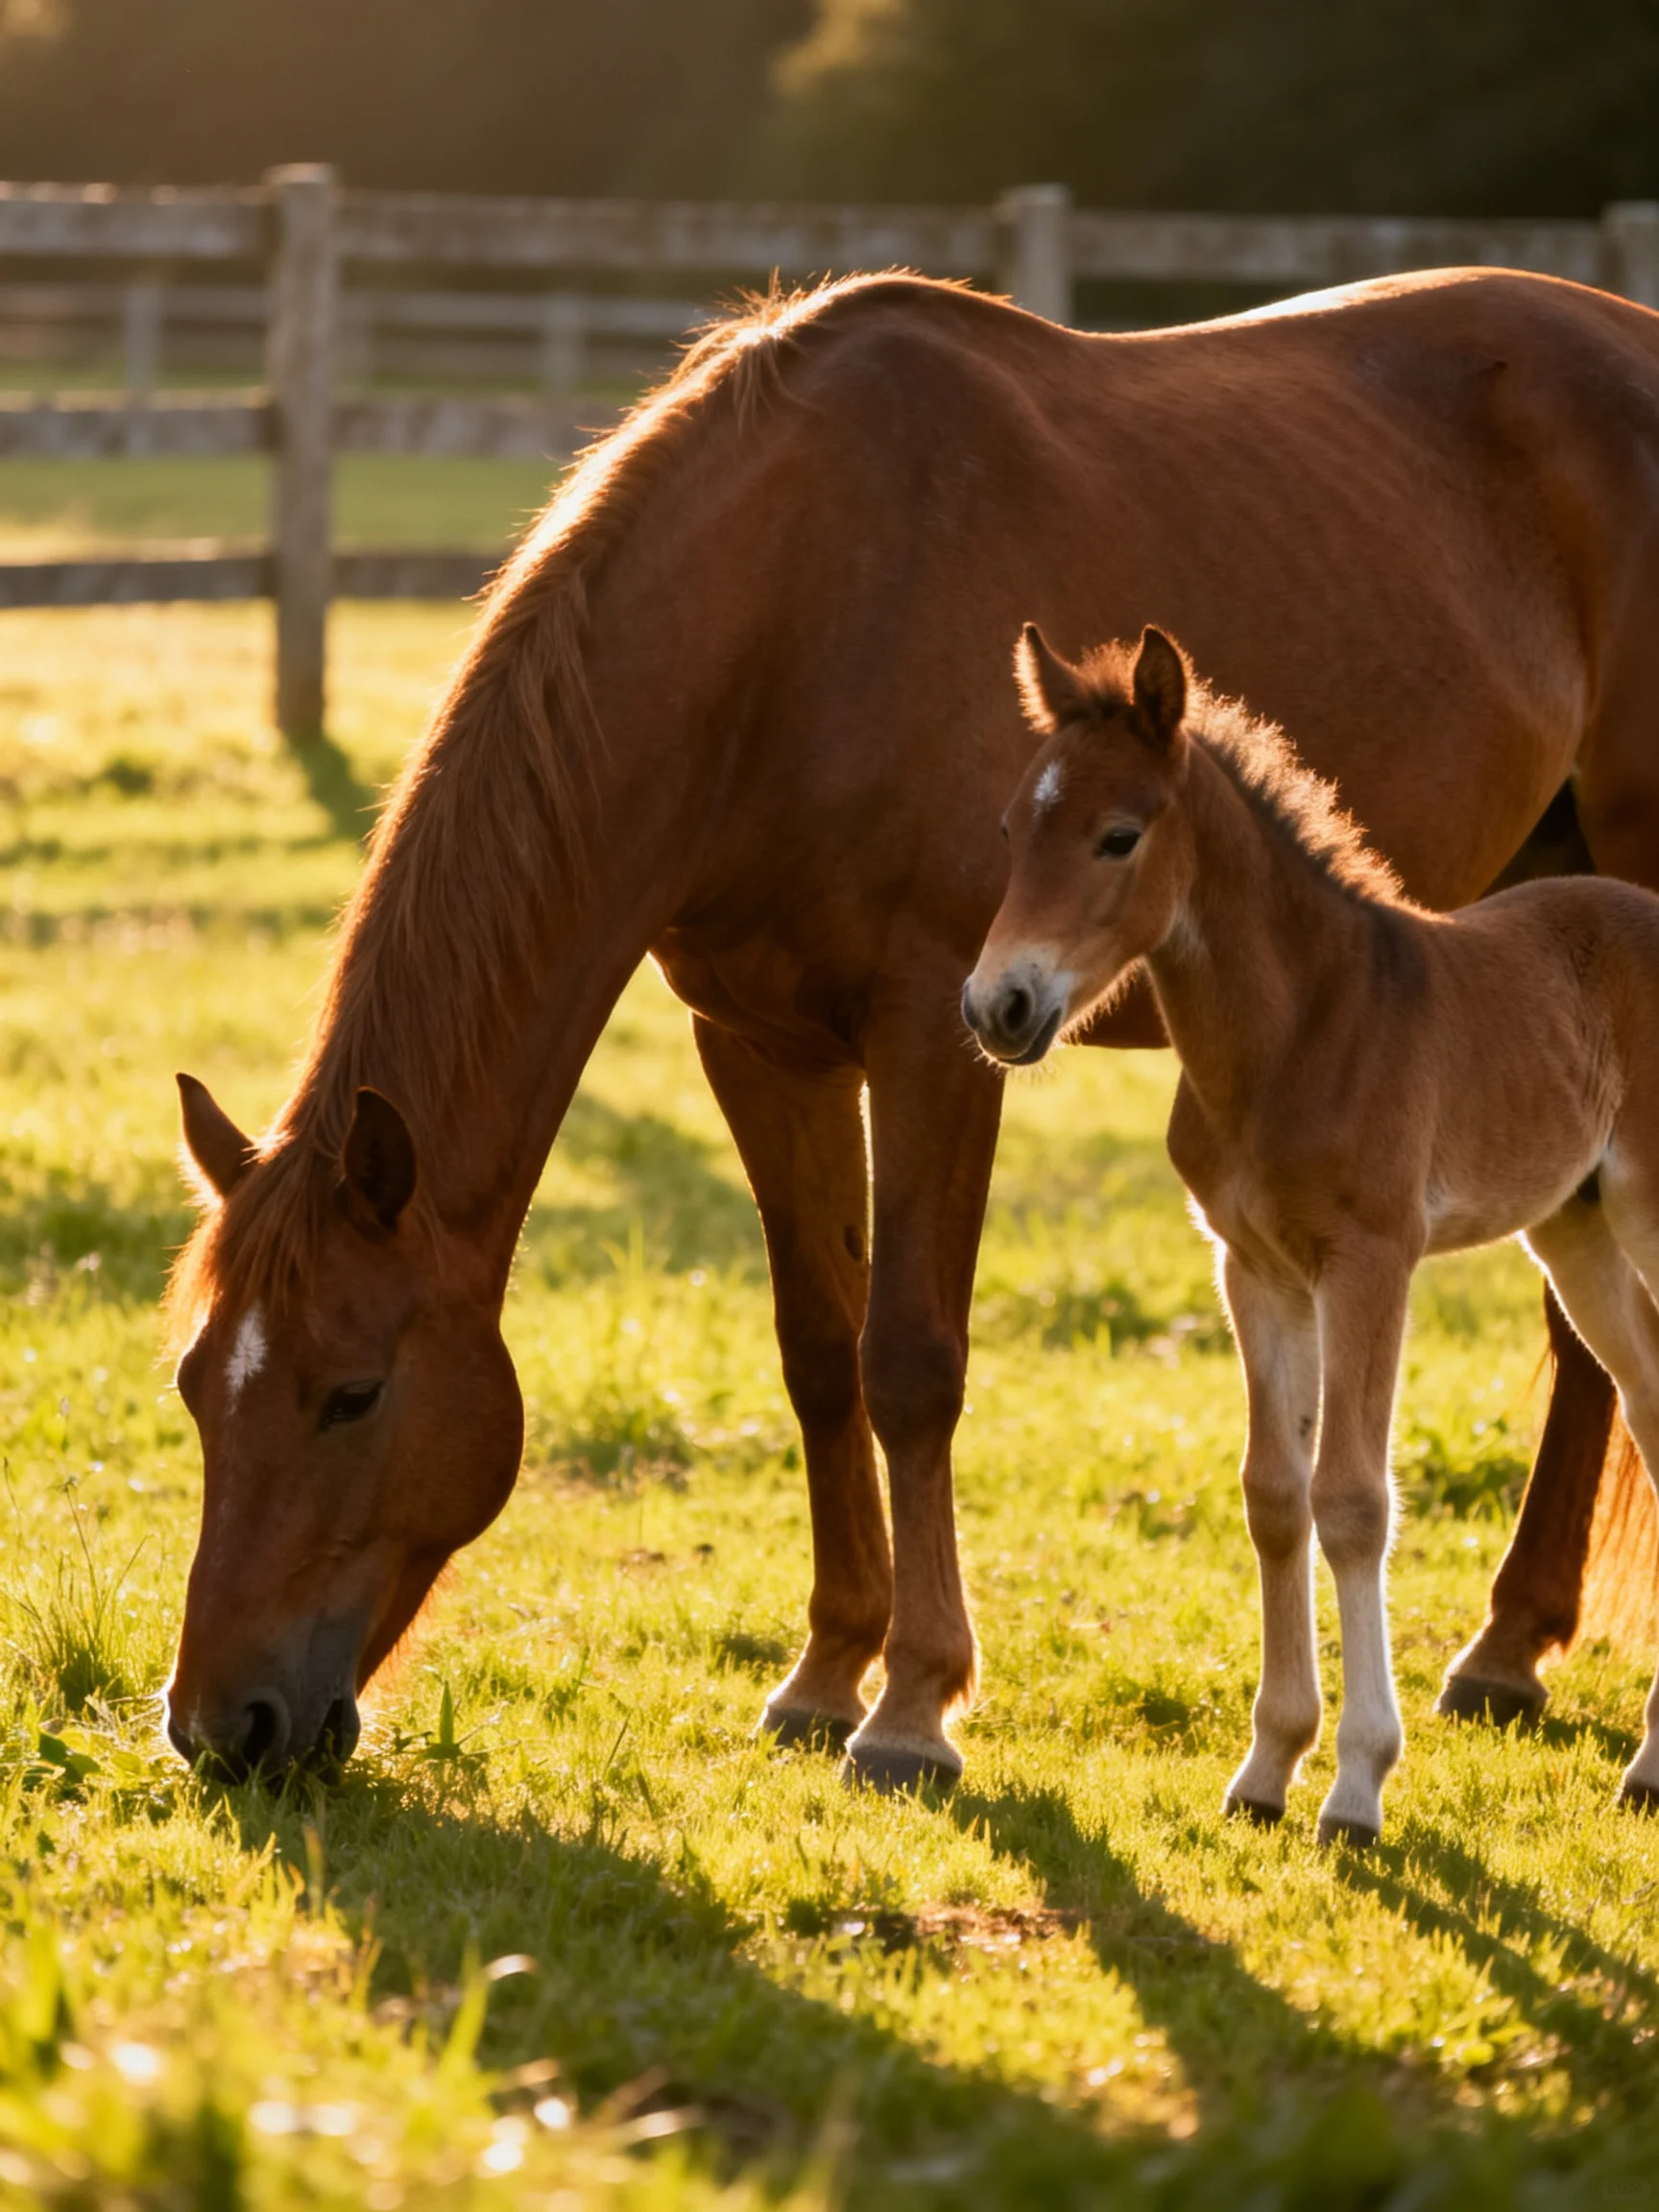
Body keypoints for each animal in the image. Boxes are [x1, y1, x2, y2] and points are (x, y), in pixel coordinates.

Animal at [965, 623, 1659, 1844]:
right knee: (1654, 1406)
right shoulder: (1254, 1268)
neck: (1300, 1027)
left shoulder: (1372, 1261)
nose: (996, 1006)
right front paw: (1267, 1766)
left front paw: (1358, 1786)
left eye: (1117, 835)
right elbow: (1275, 1495)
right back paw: (1650, 1766)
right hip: (1577, 1232)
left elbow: (1352, 1498)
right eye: (1013, 828)